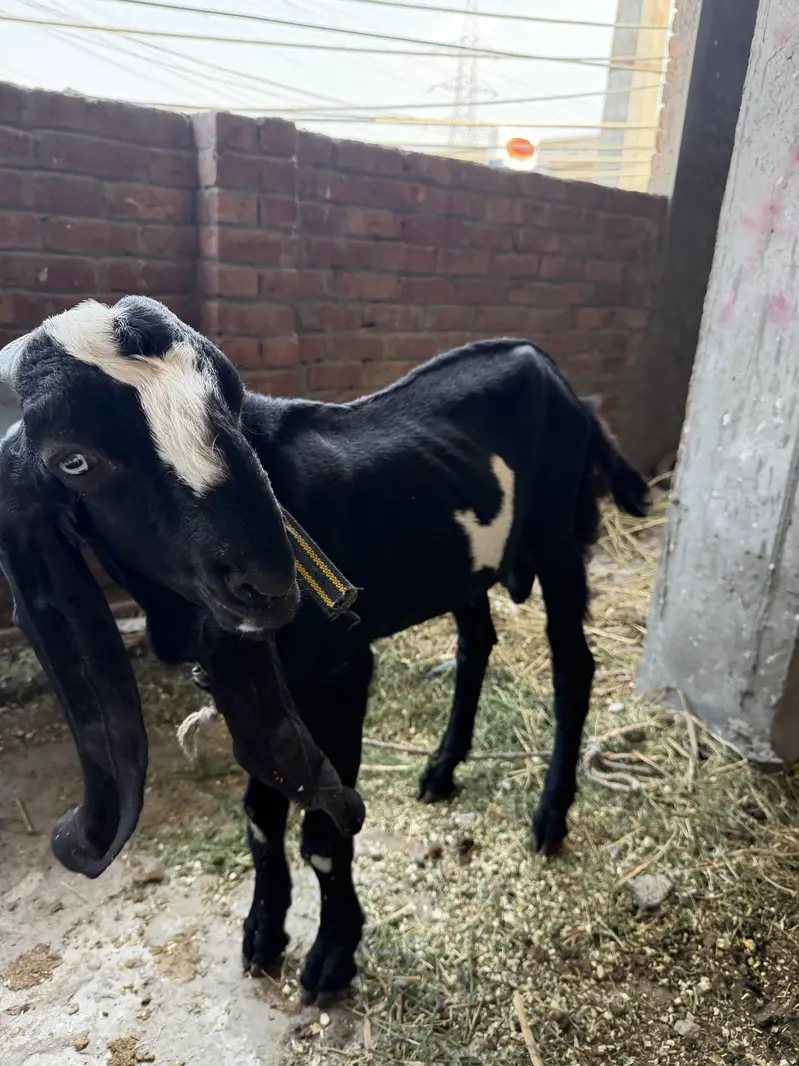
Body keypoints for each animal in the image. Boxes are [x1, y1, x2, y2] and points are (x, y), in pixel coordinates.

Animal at [0, 296, 648, 1007]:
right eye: (75, 461)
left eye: (229, 402)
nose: (268, 580)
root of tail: (544, 363)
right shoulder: (253, 678)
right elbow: (262, 814)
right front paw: (262, 935)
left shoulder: (341, 668)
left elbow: (323, 833)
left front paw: (332, 957)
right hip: (460, 568)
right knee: (476, 643)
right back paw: (441, 770)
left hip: (559, 539)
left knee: (573, 667)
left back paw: (550, 817)